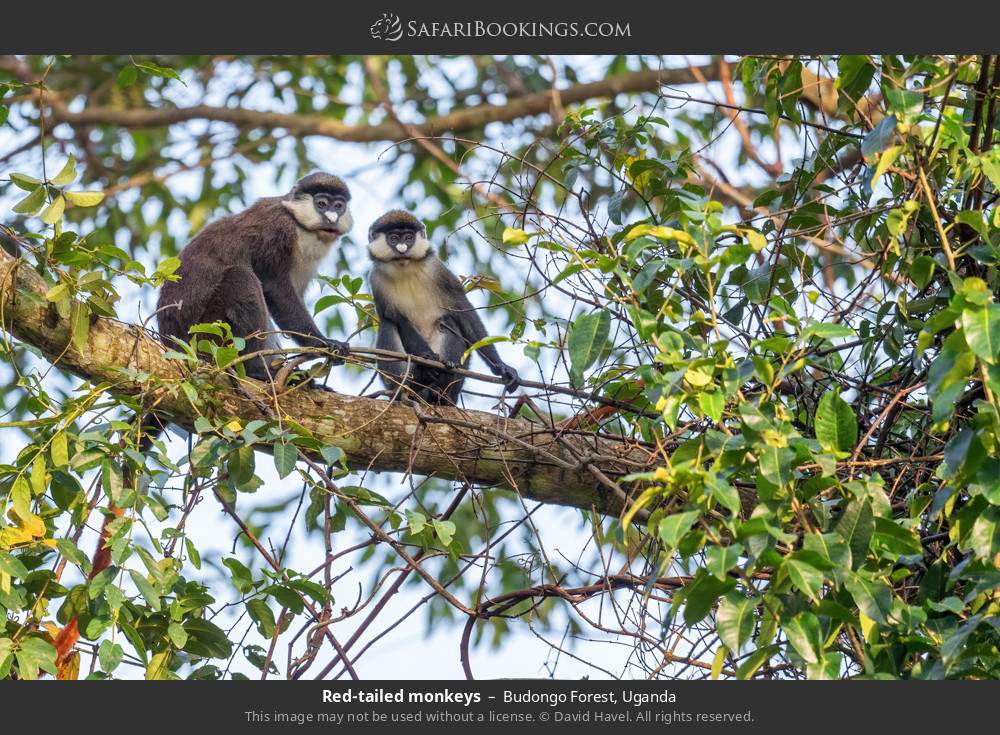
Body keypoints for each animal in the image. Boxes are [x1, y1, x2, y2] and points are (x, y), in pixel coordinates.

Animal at [370, 210, 524, 406]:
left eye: (409, 237)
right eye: (394, 238)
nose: (402, 248)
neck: (405, 269)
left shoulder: (438, 270)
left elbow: (463, 309)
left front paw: (502, 367)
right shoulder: (376, 281)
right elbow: (398, 320)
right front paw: (427, 359)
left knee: (447, 321)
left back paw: (442, 389)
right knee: (388, 324)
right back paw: (413, 383)